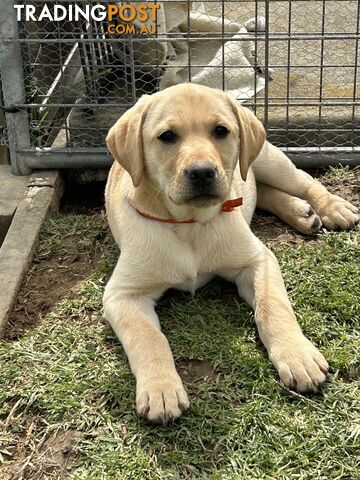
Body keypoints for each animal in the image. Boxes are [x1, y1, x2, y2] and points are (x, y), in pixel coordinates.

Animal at [102, 83, 358, 424]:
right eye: (167, 136)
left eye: (221, 131)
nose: (201, 172)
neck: (188, 224)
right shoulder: (122, 294)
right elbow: (148, 337)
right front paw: (161, 389)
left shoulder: (258, 260)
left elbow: (272, 306)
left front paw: (297, 355)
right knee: (261, 190)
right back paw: (301, 213)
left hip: (270, 161)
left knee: (301, 180)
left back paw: (330, 207)